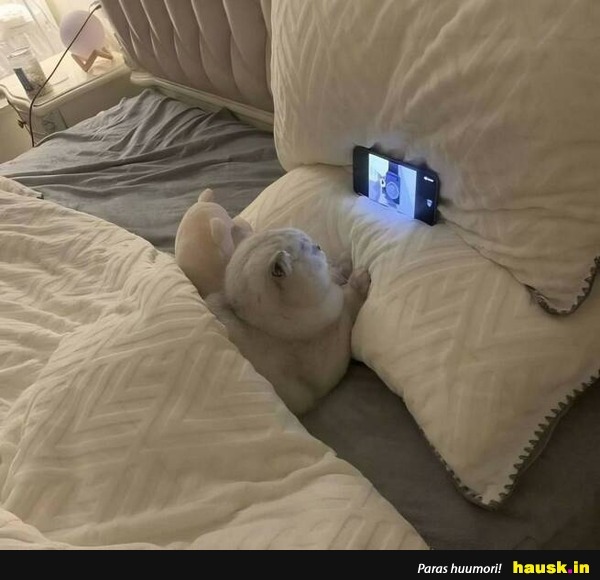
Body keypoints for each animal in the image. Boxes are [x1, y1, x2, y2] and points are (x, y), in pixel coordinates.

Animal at [205, 228, 370, 415]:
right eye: (307, 249)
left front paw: (345, 260)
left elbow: (336, 271)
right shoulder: (332, 356)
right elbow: (348, 300)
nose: (318, 246)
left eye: (311, 243)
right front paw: (359, 277)